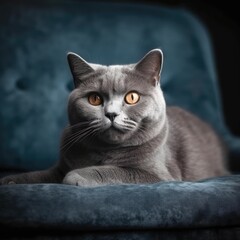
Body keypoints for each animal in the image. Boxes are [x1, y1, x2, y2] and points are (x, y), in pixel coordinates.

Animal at [0, 48, 229, 187]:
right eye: (94, 99)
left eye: (132, 97)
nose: (111, 113)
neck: (105, 152)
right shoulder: (60, 166)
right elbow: (38, 175)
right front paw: (9, 181)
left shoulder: (161, 175)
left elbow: (118, 170)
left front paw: (77, 175)